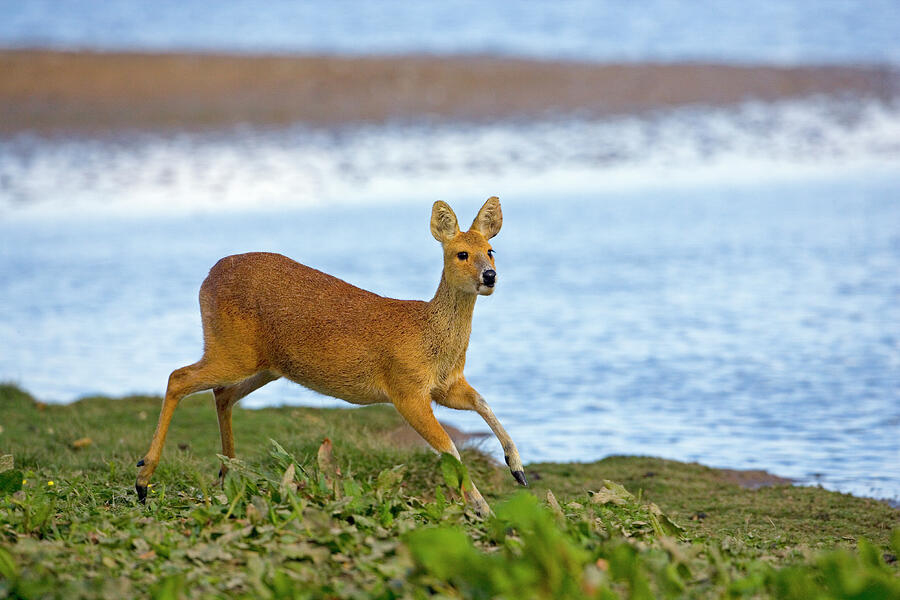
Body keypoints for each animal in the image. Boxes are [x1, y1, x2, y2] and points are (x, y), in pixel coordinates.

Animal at [135, 198, 528, 516]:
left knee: (222, 394)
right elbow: (450, 449)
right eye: (461, 253)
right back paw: (143, 480)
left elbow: (482, 402)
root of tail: (207, 277)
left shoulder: (446, 386)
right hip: (230, 349)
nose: (489, 276)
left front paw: (517, 468)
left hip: (265, 365)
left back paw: (229, 473)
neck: (429, 335)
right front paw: (483, 509)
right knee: (178, 377)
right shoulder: (406, 388)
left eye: (491, 249)